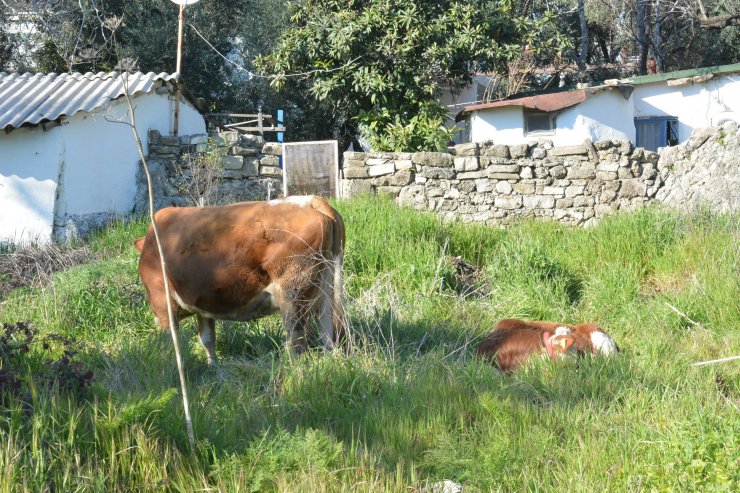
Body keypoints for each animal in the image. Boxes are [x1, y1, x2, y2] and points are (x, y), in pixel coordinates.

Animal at [134, 195, 346, 362]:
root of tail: (310, 200)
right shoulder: (203, 304)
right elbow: (207, 339)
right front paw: (214, 367)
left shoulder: (162, 303)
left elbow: (172, 341)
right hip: (326, 293)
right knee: (327, 337)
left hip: (292, 295)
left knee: (297, 339)